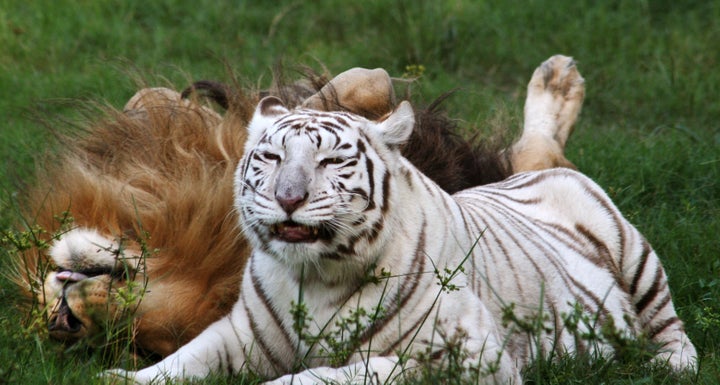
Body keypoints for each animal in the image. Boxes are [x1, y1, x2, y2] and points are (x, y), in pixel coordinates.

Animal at [107, 60, 696, 384]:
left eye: (330, 161)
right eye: (271, 158)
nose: (289, 198)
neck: (314, 279)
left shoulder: (466, 354)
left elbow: (339, 374)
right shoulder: (238, 335)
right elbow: (183, 360)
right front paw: (120, 376)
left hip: (637, 261)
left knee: (672, 330)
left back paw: (668, 365)